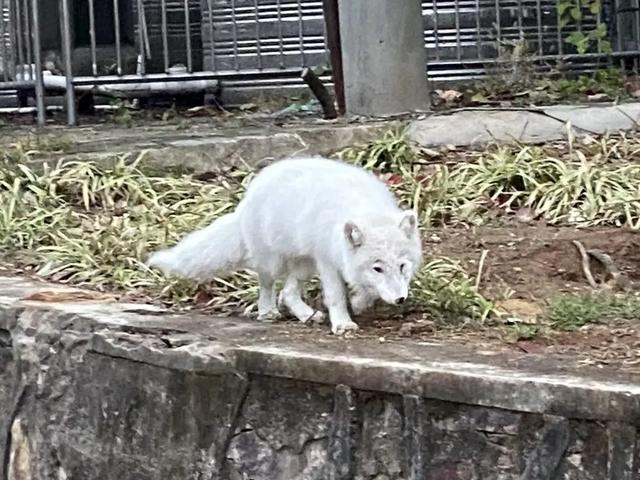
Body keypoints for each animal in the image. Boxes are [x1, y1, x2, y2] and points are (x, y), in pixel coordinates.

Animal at [147, 158, 422, 334]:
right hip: (275, 263)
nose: (400, 299)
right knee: (268, 287)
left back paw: (307, 315)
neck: (363, 208)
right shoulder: (327, 261)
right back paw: (267, 312)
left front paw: (357, 303)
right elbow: (335, 296)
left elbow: (367, 292)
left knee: (287, 293)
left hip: (304, 266)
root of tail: (248, 195)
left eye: (402, 266)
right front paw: (343, 324)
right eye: (378, 268)